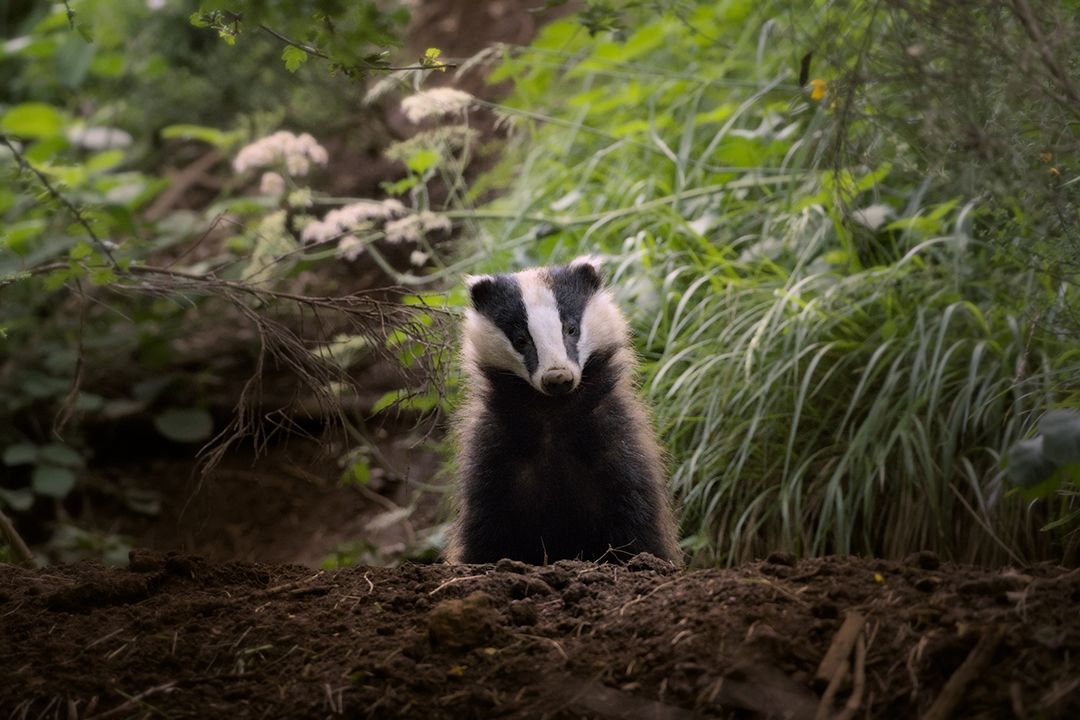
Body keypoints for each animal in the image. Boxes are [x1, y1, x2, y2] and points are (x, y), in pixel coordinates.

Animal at [445, 256, 681, 566]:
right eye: (521, 340)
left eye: (571, 329)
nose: (557, 378)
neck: (553, 414)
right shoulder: (493, 450)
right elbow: (485, 527)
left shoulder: (616, 439)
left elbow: (636, 514)